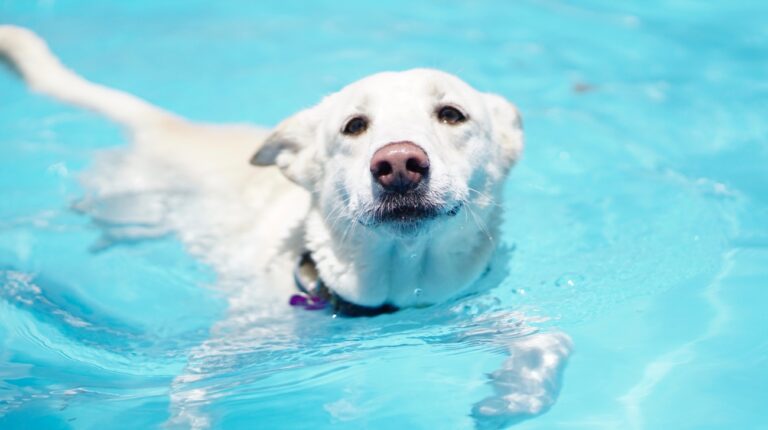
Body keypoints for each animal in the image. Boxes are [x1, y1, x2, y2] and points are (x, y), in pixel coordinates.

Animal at [0, 26, 572, 426]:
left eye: (452, 114)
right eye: (353, 126)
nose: (398, 164)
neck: (393, 283)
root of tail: (171, 124)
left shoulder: (458, 308)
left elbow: (552, 339)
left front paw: (516, 394)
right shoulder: (224, 349)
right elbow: (188, 393)